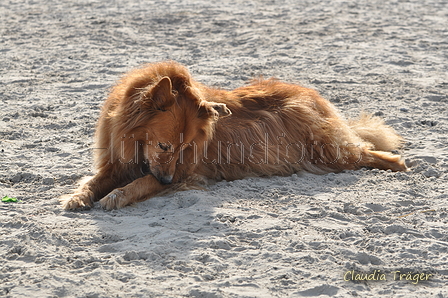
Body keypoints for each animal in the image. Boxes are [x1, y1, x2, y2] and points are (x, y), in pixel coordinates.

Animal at [61, 60, 408, 210]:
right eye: (164, 145)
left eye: (185, 148)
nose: (168, 181)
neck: (133, 142)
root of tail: (312, 95)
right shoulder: (118, 164)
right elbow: (93, 182)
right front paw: (78, 197)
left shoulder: (183, 173)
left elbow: (141, 183)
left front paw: (116, 196)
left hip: (328, 150)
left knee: (371, 152)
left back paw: (398, 164)